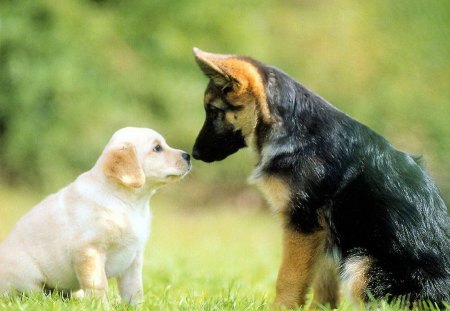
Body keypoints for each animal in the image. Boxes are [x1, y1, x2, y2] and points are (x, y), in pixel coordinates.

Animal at [0, 127, 191, 304]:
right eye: (157, 148)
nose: (188, 156)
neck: (129, 203)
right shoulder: (89, 250)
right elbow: (98, 284)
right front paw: (101, 306)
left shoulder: (134, 257)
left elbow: (134, 289)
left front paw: (136, 306)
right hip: (27, 276)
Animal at [192, 47, 450, 308]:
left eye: (213, 111)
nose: (194, 154)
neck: (296, 132)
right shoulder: (325, 236)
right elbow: (324, 285)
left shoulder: (303, 224)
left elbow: (288, 278)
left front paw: (282, 308)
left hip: (360, 265)